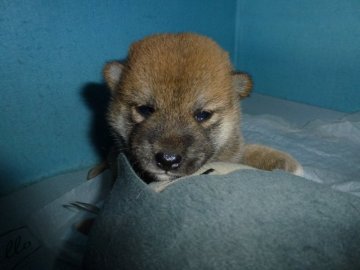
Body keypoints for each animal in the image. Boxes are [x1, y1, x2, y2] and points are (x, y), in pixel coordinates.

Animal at [99, 32, 304, 182]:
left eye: (203, 115)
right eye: (144, 110)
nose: (167, 160)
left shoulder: (233, 151)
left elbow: (248, 151)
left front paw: (283, 162)